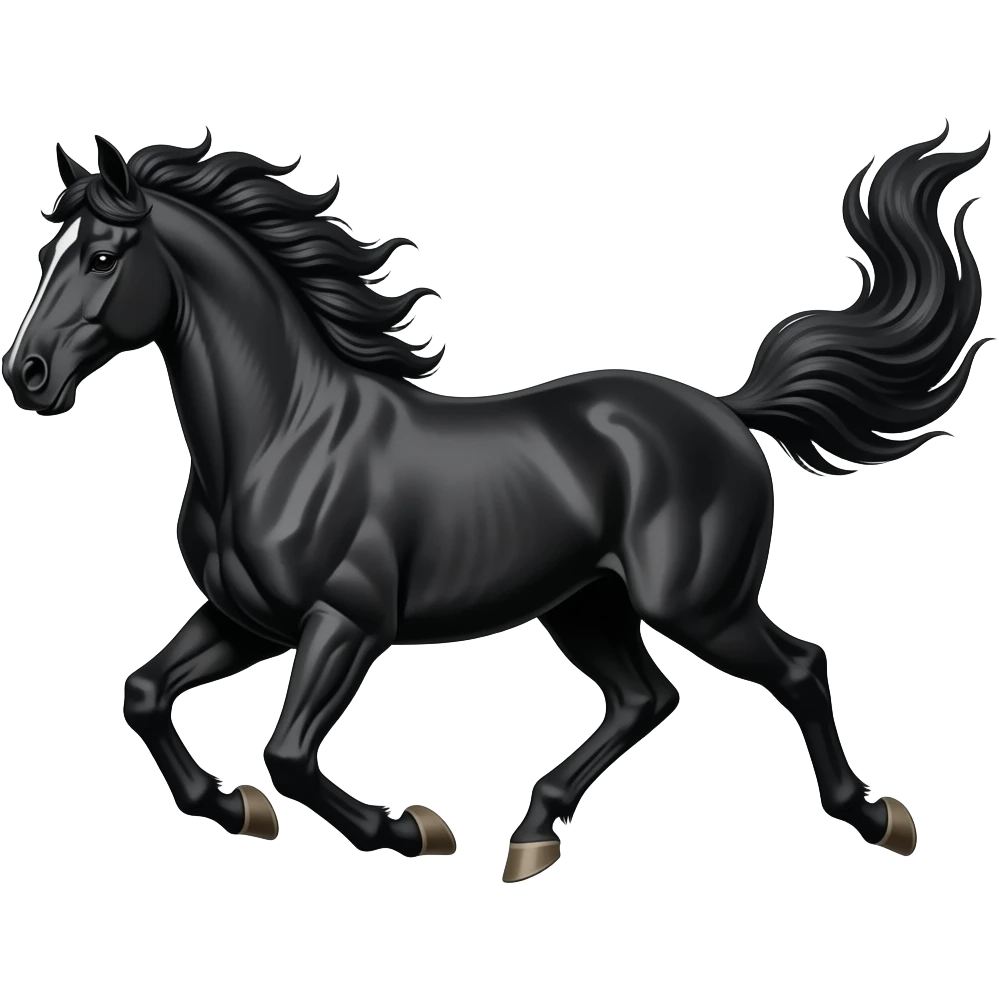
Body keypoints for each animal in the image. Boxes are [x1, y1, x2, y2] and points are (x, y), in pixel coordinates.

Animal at [3, 123, 989, 882]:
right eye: (47, 252)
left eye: (101, 257)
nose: (28, 375)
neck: (283, 433)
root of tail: (727, 410)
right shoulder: (249, 618)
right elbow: (143, 693)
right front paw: (232, 806)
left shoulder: (347, 622)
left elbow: (286, 752)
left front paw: (411, 827)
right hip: (588, 605)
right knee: (644, 697)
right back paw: (532, 836)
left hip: (698, 602)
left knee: (797, 667)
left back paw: (878, 816)